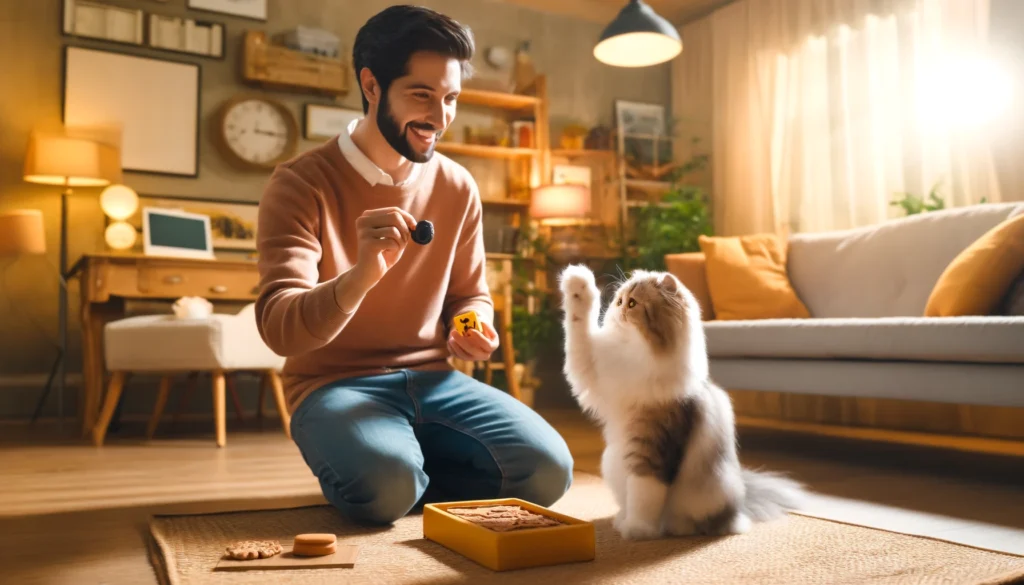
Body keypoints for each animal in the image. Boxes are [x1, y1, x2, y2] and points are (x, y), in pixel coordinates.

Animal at [561, 264, 806, 540]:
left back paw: (671, 527)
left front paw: (638, 530)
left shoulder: (652, 447)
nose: (616, 310)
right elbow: (578, 325)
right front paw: (577, 281)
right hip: (611, 461)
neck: (634, 353)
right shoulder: (591, 367)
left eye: (632, 303)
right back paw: (621, 519)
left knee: (704, 523)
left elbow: (643, 495)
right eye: (619, 300)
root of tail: (740, 506)